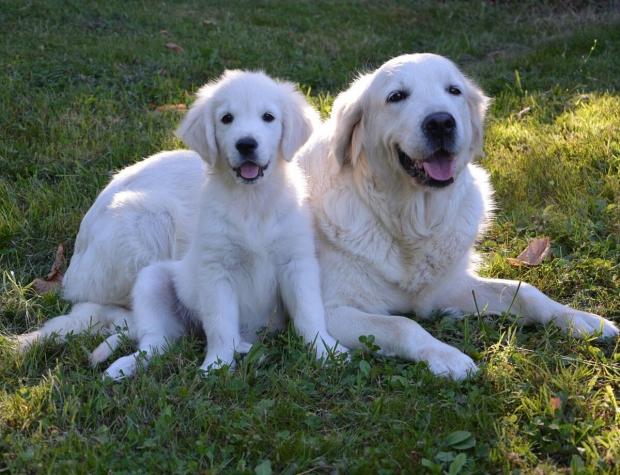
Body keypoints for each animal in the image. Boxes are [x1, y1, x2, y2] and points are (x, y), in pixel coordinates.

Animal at [18, 69, 340, 372]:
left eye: (268, 117)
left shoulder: (297, 261)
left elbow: (309, 313)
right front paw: (217, 366)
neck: (253, 202)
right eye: (226, 119)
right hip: (151, 236)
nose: (246, 144)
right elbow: (221, 324)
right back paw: (121, 367)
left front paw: (325, 351)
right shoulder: (215, 269)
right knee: (146, 335)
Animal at [298, 52, 616, 382]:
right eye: (396, 96)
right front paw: (447, 356)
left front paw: (579, 318)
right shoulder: (333, 309)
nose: (440, 122)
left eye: (454, 91)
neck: (410, 220)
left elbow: (524, 290)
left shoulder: (446, 288)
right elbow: (403, 324)